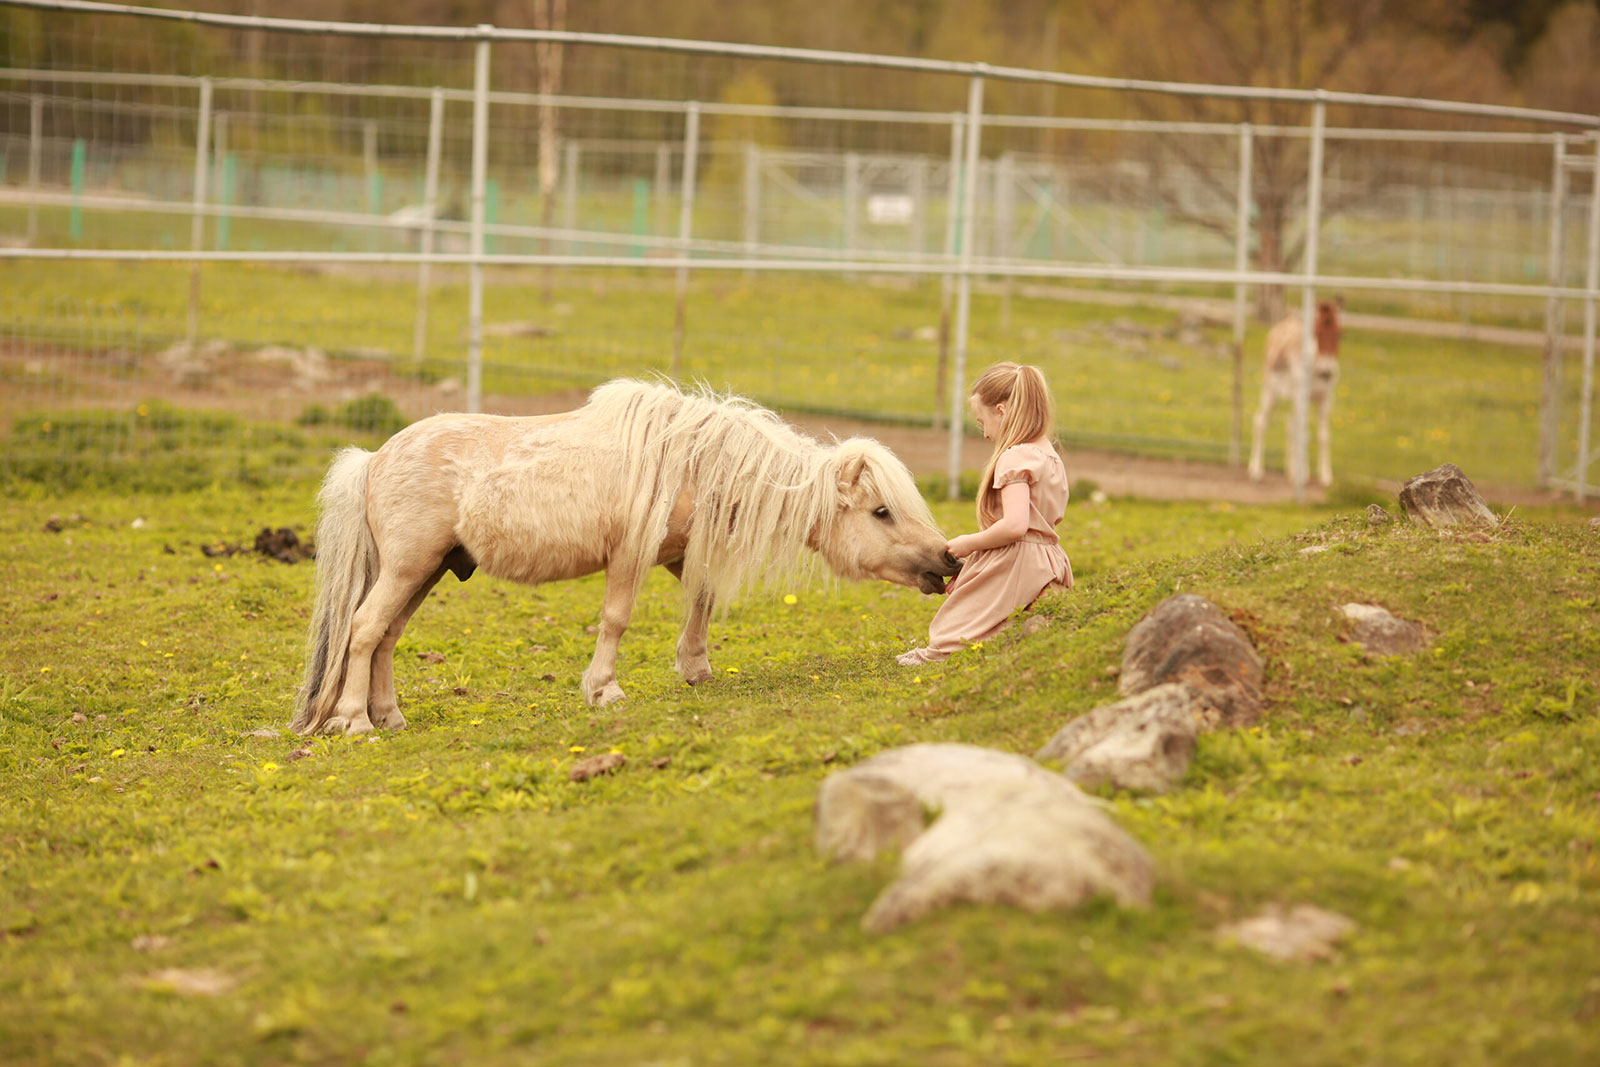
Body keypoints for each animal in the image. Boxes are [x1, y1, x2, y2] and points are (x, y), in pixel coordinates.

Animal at [289, 379, 960, 739]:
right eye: (882, 512)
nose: (947, 562)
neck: (692, 459)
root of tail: (374, 458)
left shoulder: (676, 554)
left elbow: (702, 600)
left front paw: (696, 667)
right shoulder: (630, 557)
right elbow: (616, 620)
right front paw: (604, 690)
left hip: (424, 573)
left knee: (386, 637)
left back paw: (389, 716)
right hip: (407, 568)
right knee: (364, 629)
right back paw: (354, 721)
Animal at [1241, 299, 1344, 486]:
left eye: (1340, 333)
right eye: (1316, 332)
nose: (1326, 372)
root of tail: (1280, 327)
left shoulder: (1325, 399)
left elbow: (1323, 436)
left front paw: (1325, 475)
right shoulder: (1301, 399)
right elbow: (1304, 434)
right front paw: (1303, 474)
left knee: (1290, 426)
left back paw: (1290, 470)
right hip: (1271, 393)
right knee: (1261, 421)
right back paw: (1256, 470)